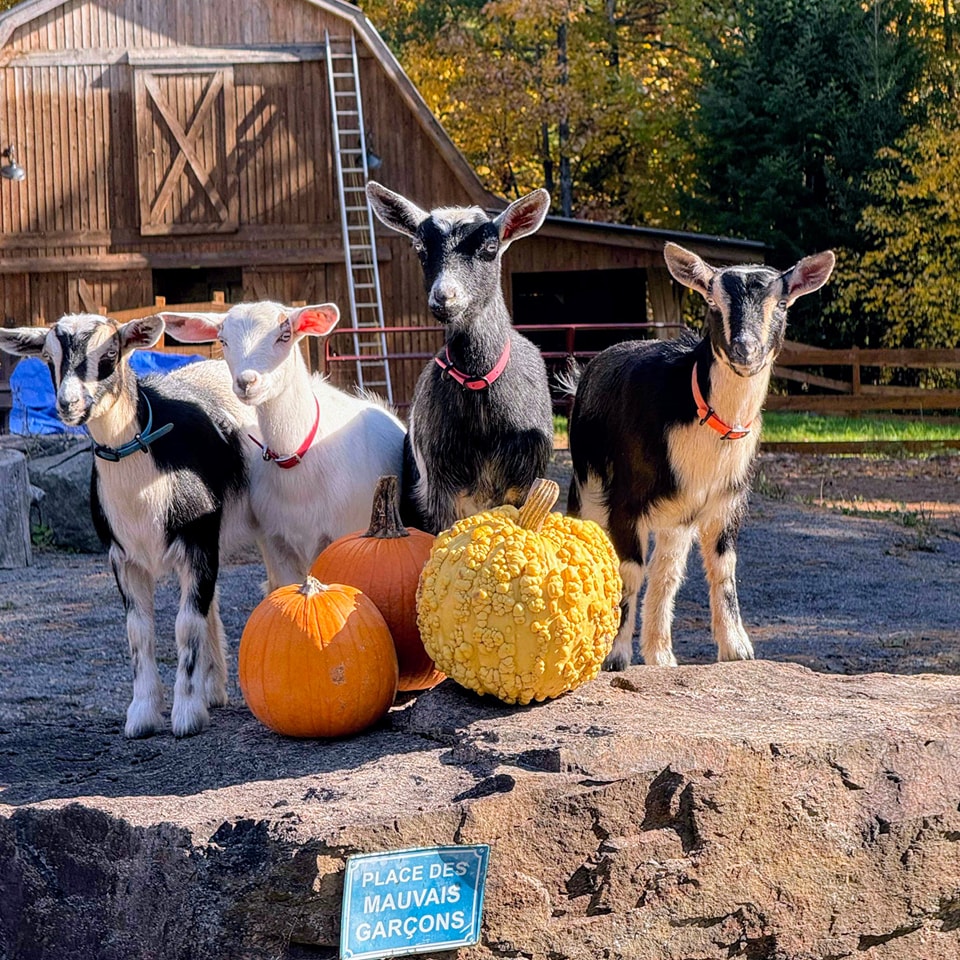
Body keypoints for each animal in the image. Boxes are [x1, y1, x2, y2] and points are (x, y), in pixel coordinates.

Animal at [0, 314, 258, 738]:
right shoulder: (124, 557)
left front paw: (186, 714)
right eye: (48, 358)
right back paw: (214, 690)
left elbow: (185, 624)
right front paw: (142, 715)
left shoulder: (197, 541)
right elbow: (139, 631)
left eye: (109, 353)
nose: (67, 404)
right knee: (211, 602)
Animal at [567, 242, 835, 669]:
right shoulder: (625, 502)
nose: (745, 349)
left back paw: (661, 655)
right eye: (712, 300)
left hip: (676, 519)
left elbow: (723, 568)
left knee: (666, 573)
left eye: (782, 303)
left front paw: (736, 648)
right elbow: (628, 570)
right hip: (588, 484)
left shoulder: (726, 501)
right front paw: (614, 655)